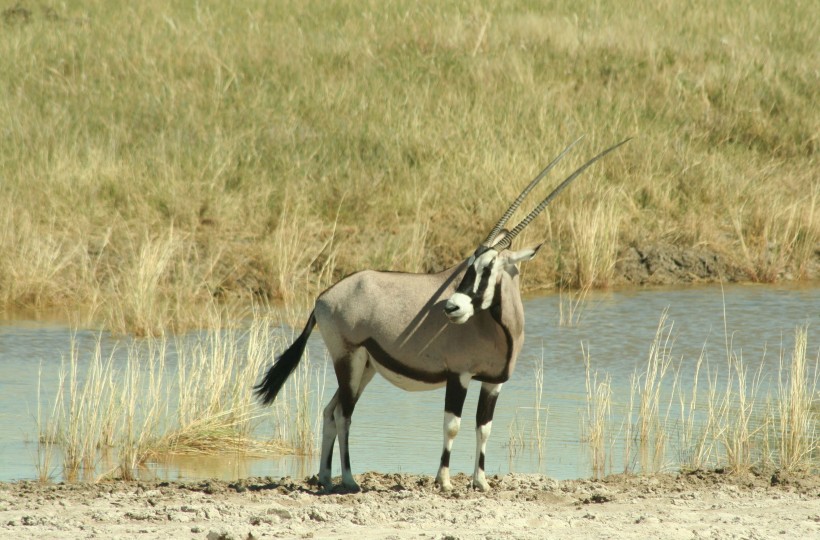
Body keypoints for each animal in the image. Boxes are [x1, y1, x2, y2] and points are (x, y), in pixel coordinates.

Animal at [255, 137, 628, 492]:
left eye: (489, 267)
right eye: (469, 264)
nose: (452, 307)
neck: (498, 328)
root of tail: (322, 298)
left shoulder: (493, 383)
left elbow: (484, 428)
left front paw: (481, 482)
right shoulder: (458, 375)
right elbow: (452, 426)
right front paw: (444, 481)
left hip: (365, 368)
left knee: (331, 412)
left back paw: (325, 477)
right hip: (348, 360)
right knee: (345, 415)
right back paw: (347, 479)